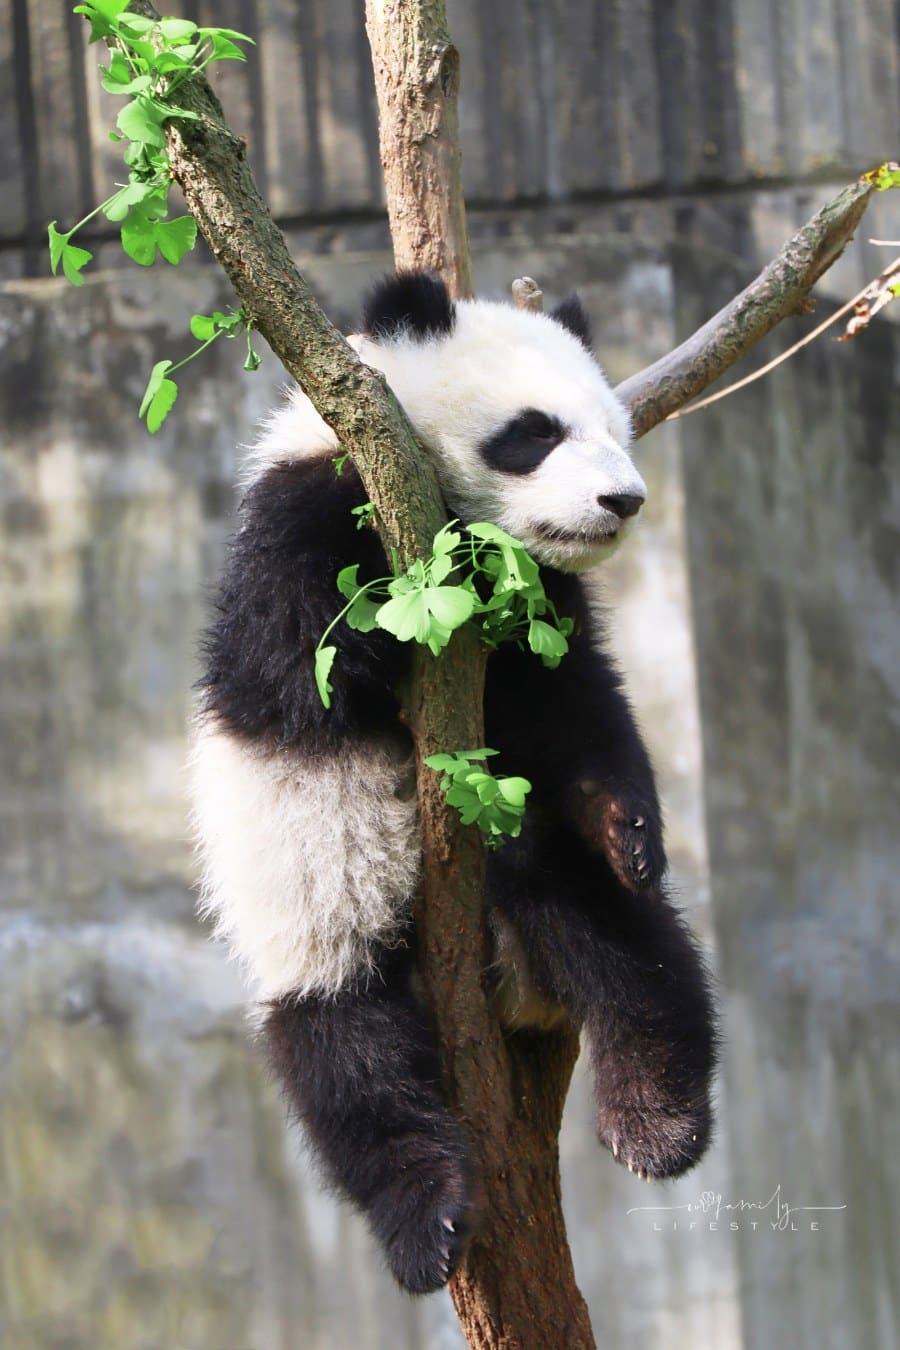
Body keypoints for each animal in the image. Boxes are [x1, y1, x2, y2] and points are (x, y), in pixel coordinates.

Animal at [190, 271, 717, 1295]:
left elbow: (577, 711)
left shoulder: (539, 618)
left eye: (616, 428)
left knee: (619, 937)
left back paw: (658, 1117)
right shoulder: (299, 522)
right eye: (535, 432)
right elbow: (306, 664)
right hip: (321, 939)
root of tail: (510, 982)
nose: (623, 500)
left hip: (537, 890)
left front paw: (629, 826)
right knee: (349, 1063)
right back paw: (426, 1220)